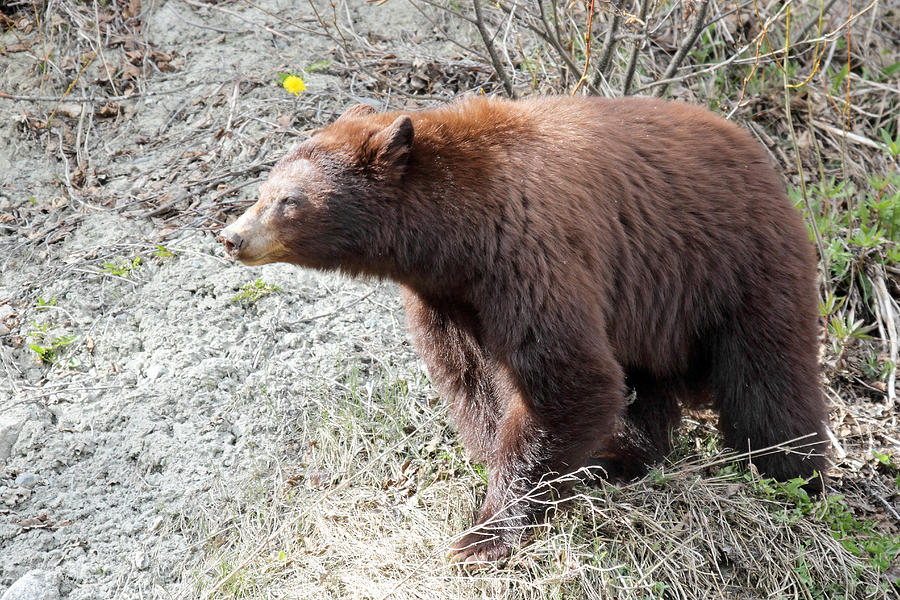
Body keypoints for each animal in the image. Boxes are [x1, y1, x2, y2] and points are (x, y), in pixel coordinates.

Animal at [218, 96, 828, 563]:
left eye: (288, 200)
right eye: (262, 189)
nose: (231, 236)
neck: (455, 235)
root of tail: (760, 155)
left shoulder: (530, 253)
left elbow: (567, 376)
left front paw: (483, 535)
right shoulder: (448, 298)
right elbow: (473, 383)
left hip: (736, 265)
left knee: (768, 378)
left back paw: (790, 478)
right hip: (647, 298)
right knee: (644, 386)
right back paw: (620, 459)